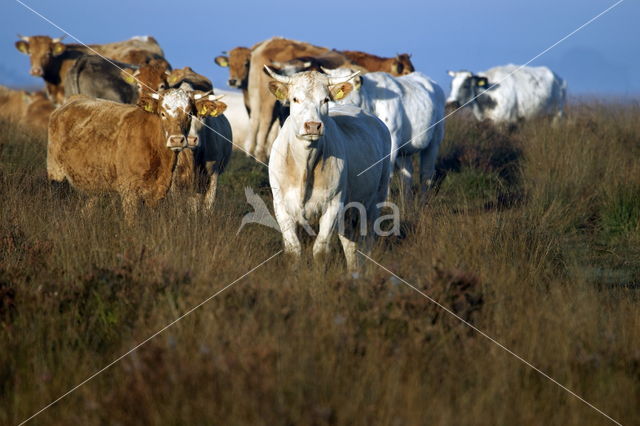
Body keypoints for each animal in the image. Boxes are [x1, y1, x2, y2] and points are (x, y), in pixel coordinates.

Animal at [264, 68, 390, 272]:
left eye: (325, 100)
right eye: (295, 99)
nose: (312, 125)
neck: (304, 166)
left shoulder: (333, 204)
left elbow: (321, 249)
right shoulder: (281, 204)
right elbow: (293, 248)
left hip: (375, 199)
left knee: (367, 241)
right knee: (350, 245)